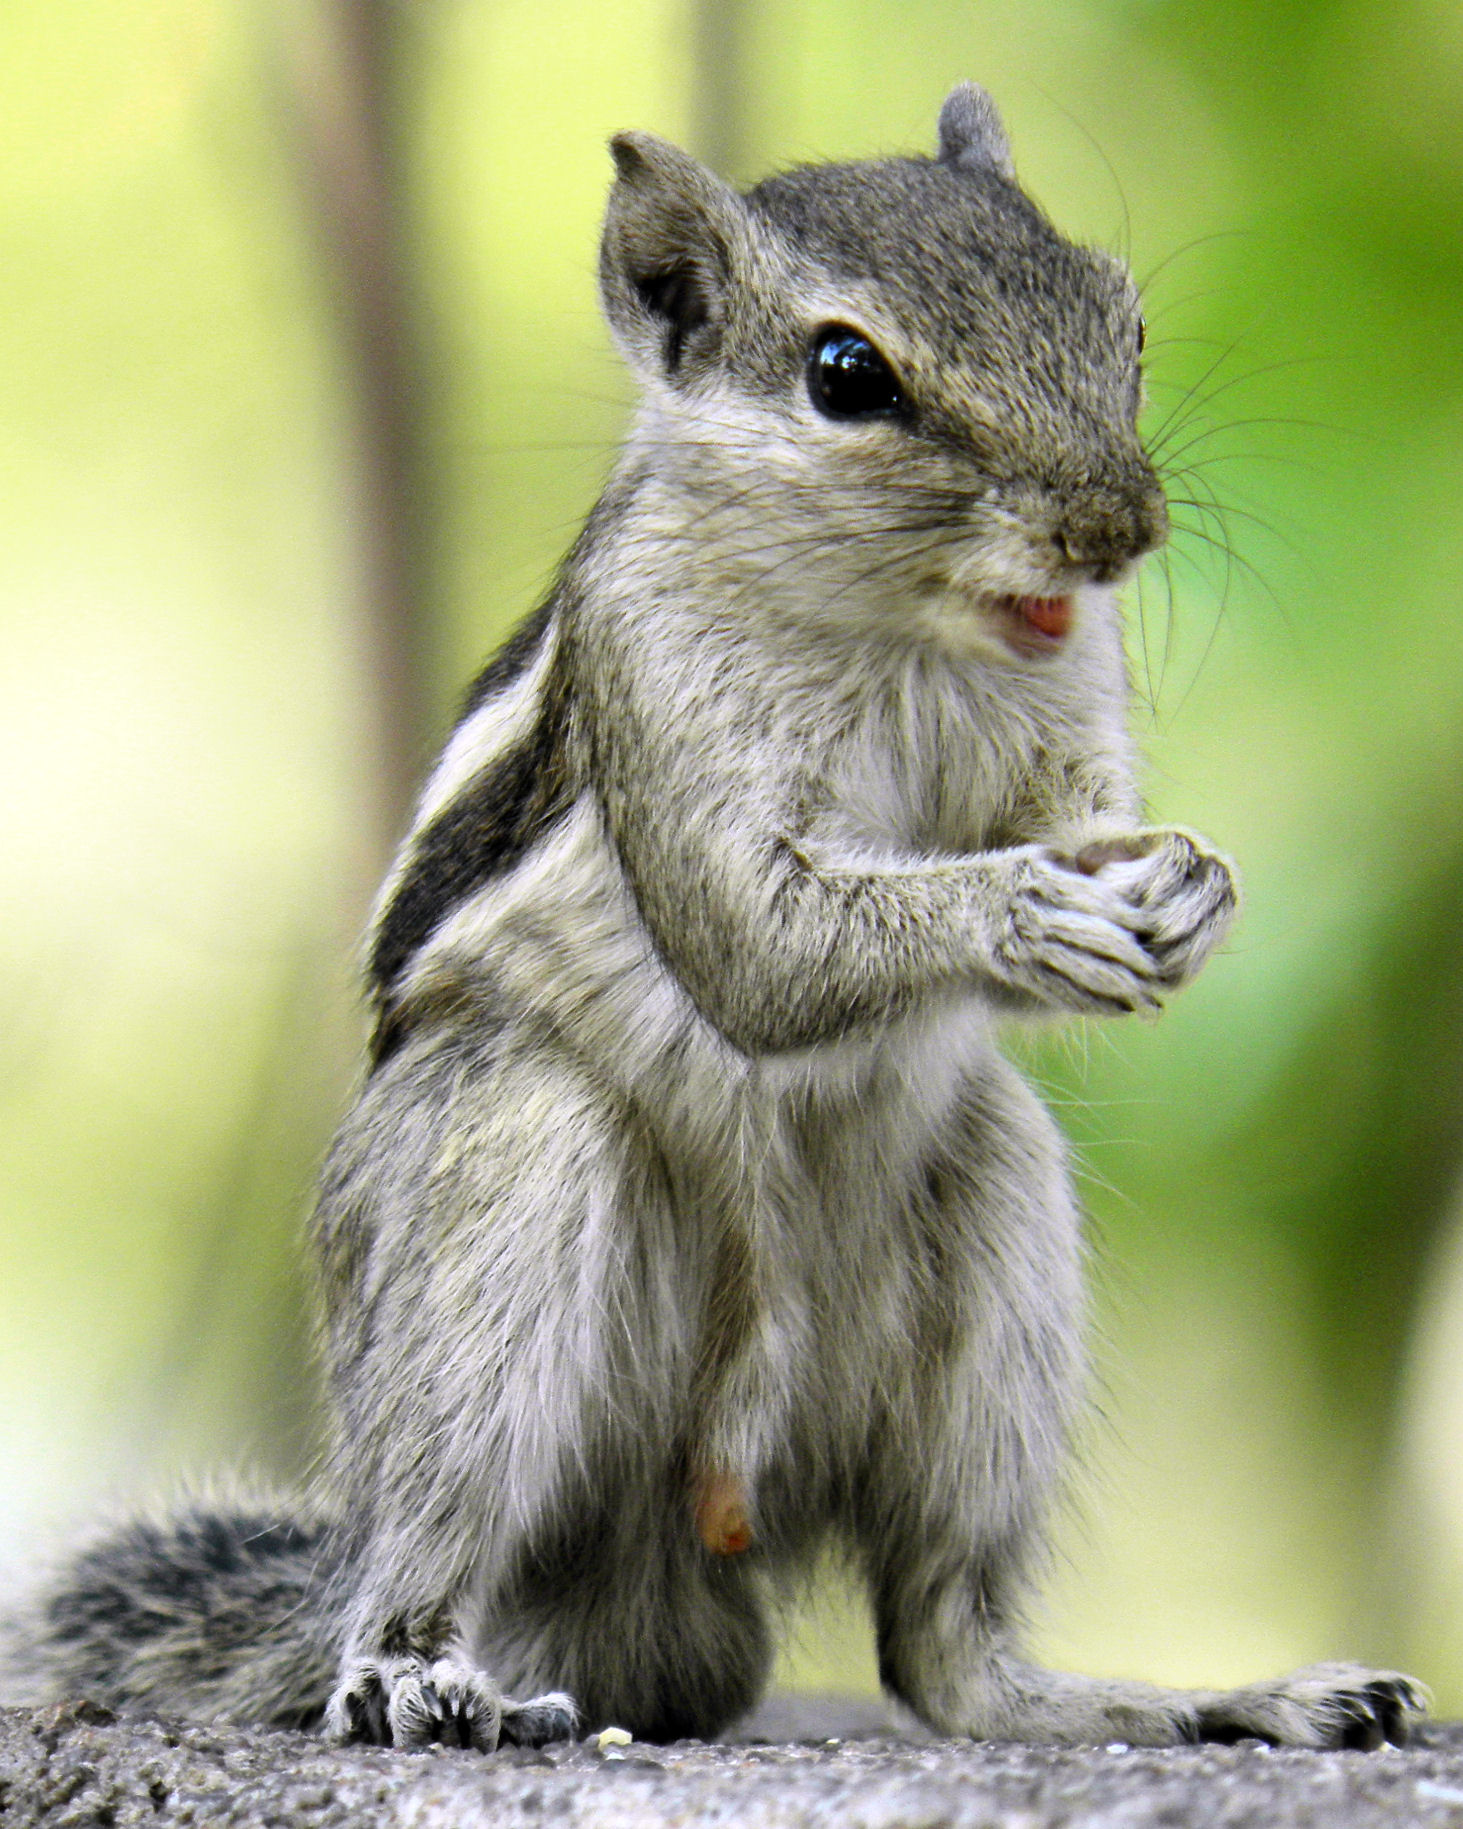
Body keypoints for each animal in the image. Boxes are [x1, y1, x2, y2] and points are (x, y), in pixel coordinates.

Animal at [0, 78, 1426, 1748]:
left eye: (1119, 317)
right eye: (844, 374)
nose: (1111, 531)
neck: (900, 627)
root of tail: (684, 1548)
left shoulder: (1062, 705)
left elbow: (1083, 822)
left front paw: (1190, 886)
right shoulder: (656, 685)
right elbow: (755, 940)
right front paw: (1016, 913)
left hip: (995, 1239)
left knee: (943, 1651)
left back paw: (1215, 1705)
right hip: (497, 1194)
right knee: (429, 1539)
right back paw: (415, 1675)